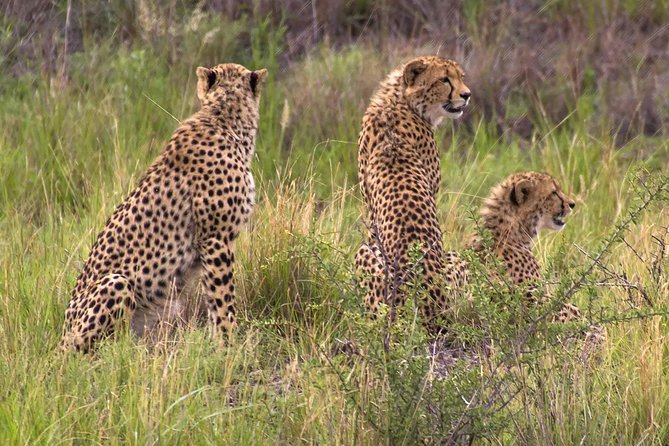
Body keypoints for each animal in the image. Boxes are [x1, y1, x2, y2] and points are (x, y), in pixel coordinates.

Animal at [58, 62, 266, 354]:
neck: (224, 118)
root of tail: (60, 339)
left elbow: (215, 302)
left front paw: (220, 345)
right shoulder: (216, 239)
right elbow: (223, 300)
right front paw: (229, 345)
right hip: (117, 283)